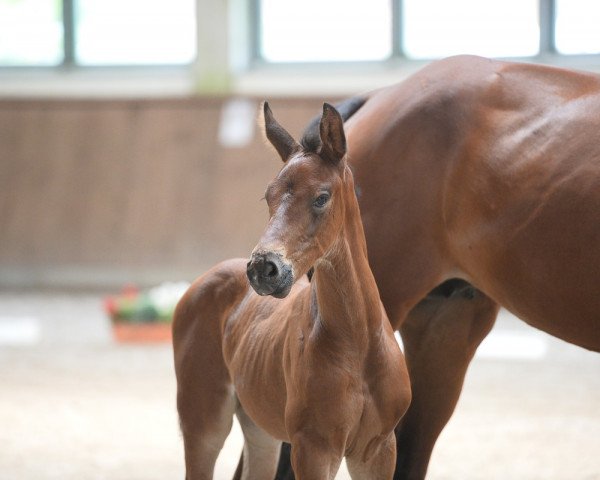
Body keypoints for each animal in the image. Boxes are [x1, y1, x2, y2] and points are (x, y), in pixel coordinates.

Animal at [171, 103, 410, 478]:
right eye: (267, 197)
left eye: (322, 197)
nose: (263, 268)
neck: (358, 343)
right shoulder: (313, 447)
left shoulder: (378, 449)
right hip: (204, 422)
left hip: (260, 430)